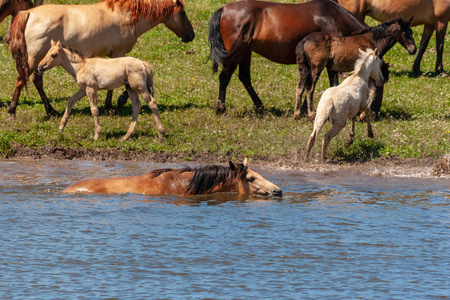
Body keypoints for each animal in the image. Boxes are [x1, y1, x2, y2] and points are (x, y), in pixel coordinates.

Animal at [7, 0, 193, 116]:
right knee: (22, 79)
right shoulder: (119, 54)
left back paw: (51, 110)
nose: (191, 35)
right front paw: (115, 103)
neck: (126, 15)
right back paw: (12, 109)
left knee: (36, 80)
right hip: (35, 58)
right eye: (183, 13)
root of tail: (28, 13)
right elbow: (118, 82)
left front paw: (111, 104)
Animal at [36, 40, 164, 142]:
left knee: (152, 103)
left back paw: (161, 135)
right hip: (131, 88)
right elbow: (70, 101)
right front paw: (61, 128)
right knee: (136, 107)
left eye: (54, 55)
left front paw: (96, 135)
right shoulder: (83, 89)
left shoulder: (91, 88)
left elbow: (94, 109)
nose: (40, 67)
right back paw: (126, 136)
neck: (81, 66)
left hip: (139, 87)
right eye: (46, 53)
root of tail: (143, 63)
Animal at [208, 0, 370, 118]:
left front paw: (304, 109)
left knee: (244, 77)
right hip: (237, 52)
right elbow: (331, 83)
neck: (333, 17)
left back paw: (260, 107)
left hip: (245, 52)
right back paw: (221, 110)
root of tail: (223, 9)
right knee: (225, 77)